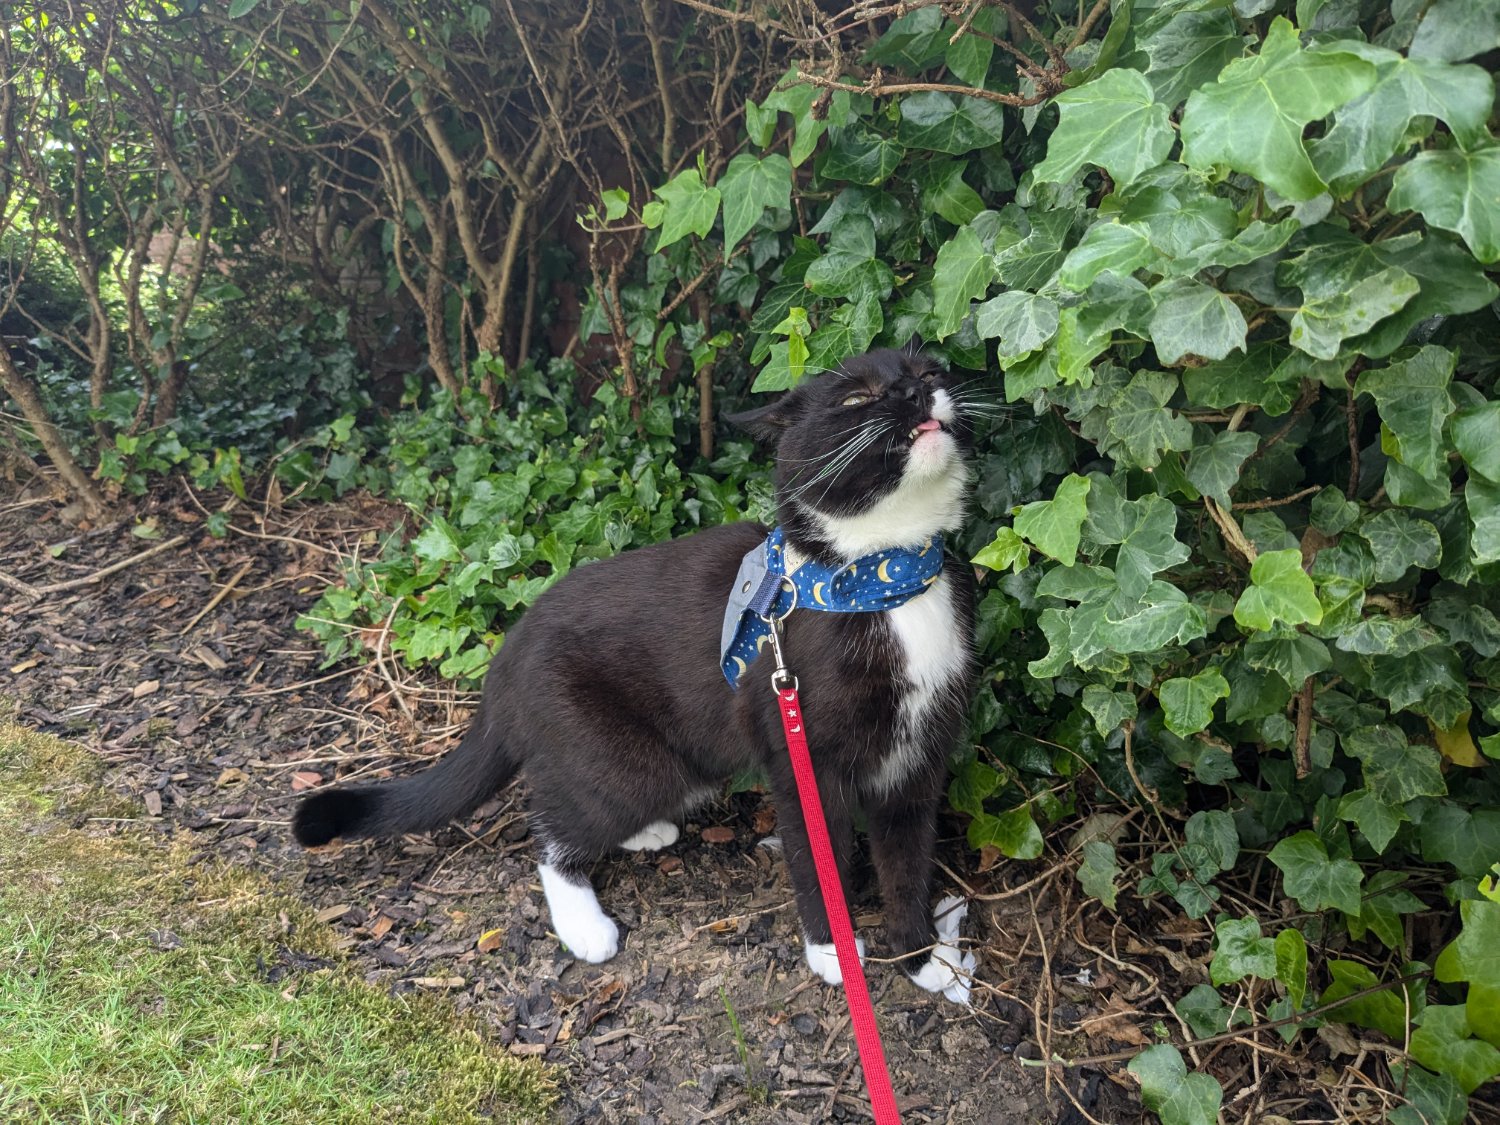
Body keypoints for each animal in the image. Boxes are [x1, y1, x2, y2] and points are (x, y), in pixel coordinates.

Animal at [294, 348, 984, 1008]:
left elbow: (908, 865)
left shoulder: (918, 760)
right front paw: (835, 955)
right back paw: (584, 924)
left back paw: (646, 832)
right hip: (618, 754)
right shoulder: (801, 758)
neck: (883, 579)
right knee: (550, 829)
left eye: (928, 369)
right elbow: (820, 861)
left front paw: (923, 959)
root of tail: (506, 661)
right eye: (857, 398)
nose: (913, 390)